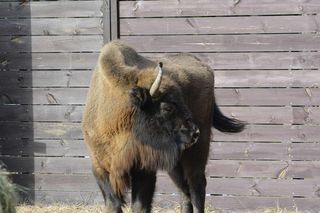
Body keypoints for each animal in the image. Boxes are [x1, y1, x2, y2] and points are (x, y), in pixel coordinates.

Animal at [81, 40, 244, 213]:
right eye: (167, 107)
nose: (194, 133)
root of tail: (203, 66)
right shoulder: (100, 167)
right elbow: (113, 204)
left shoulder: (144, 168)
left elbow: (140, 206)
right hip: (176, 163)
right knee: (183, 190)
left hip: (196, 152)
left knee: (196, 186)